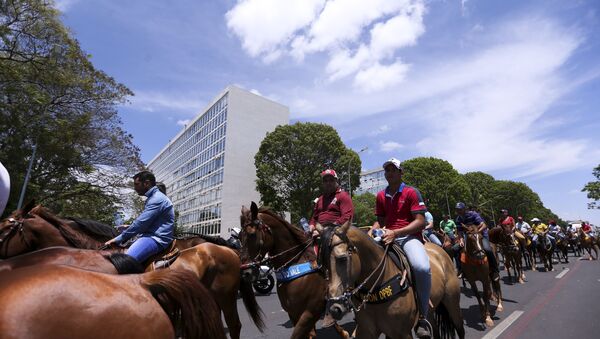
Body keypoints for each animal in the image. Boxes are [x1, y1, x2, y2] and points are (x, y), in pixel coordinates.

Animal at [318, 223, 464, 339]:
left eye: (342, 259)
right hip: (430, 310)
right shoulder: (366, 331)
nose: (334, 308)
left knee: (460, 328)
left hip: (452, 302)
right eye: (323, 265)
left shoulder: (402, 333)